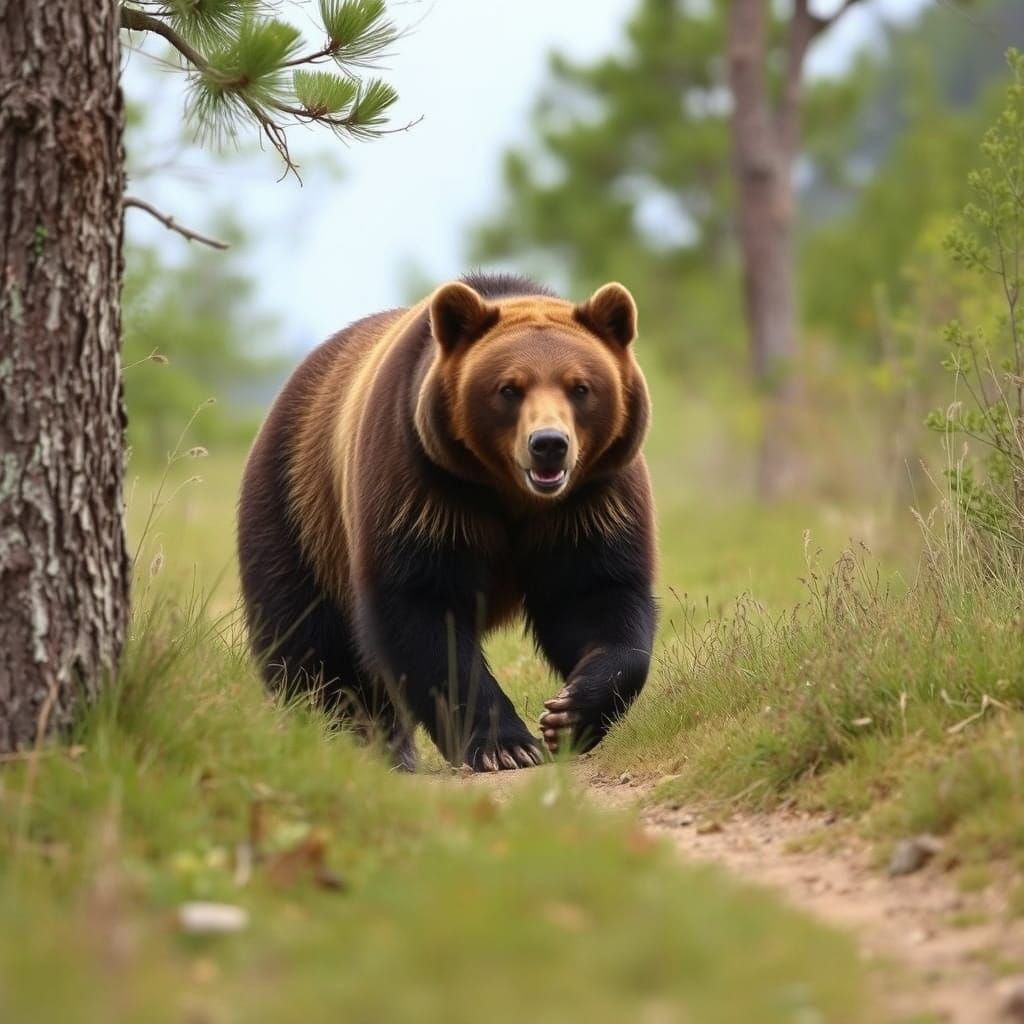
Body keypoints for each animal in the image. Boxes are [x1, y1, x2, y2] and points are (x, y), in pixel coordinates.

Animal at [237, 272, 656, 772]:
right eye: (509, 388)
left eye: (580, 386)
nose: (549, 444)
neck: (509, 493)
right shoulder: (424, 486)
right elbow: (423, 610)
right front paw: (505, 746)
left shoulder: (589, 500)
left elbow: (597, 595)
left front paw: (570, 713)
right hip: (299, 511)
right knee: (307, 641)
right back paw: (348, 737)